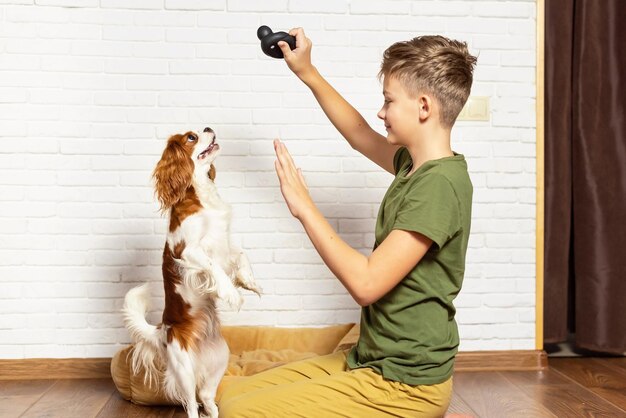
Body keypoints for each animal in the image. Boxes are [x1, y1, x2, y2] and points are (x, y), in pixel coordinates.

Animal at [123, 127, 260, 418]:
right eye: (191, 138)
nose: (208, 128)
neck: (202, 196)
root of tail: (163, 331)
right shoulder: (187, 252)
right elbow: (213, 268)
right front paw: (232, 294)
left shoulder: (224, 244)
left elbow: (240, 255)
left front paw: (250, 282)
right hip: (184, 369)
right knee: (191, 405)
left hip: (220, 358)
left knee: (207, 399)